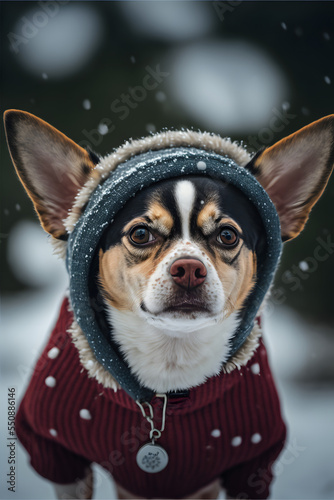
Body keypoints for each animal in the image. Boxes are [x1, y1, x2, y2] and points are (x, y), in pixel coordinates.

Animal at [3, 111, 334, 498]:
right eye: (140, 234)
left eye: (228, 235)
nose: (189, 268)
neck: (170, 358)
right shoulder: (58, 455)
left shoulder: (251, 466)